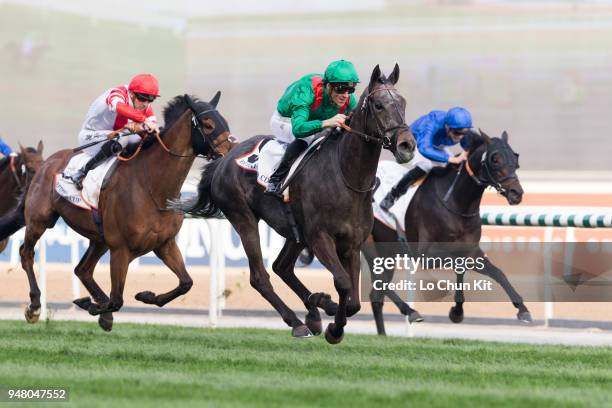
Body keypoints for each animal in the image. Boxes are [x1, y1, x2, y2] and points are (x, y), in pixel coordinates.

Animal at [0, 94, 233, 330]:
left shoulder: (164, 244)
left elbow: (186, 282)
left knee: (83, 270)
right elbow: (117, 300)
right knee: (27, 254)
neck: (152, 186)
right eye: (208, 124)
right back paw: (35, 306)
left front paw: (145, 296)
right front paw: (92, 305)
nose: (230, 151)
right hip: (40, 220)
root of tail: (46, 164)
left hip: (99, 238)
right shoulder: (121, 248)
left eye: (225, 121)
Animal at [176, 64, 416, 344]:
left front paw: (329, 311)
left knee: (282, 267)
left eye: (403, 102)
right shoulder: (320, 237)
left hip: (295, 232)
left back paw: (315, 308)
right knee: (260, 276)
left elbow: (354, 300)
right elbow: (343, 282)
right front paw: (335, 329)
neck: (346, 177)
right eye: (378, 105)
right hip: (243, 218)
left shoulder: (352, 243)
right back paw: (298, 322)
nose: (407, 145)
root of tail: (224, 159)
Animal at [366, 131, 532, 334]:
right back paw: (411, 312)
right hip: (370, 246)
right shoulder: (426, 255)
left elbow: (497, 273)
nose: (516, 193)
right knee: (379, 284)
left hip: (387, 252)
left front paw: (522, 310)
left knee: (377, 292)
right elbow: (459, 265)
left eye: (515, 159)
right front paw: (454, 307)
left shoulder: (471, 250)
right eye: (495, 159)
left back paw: (384, 334)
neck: (455, 201)